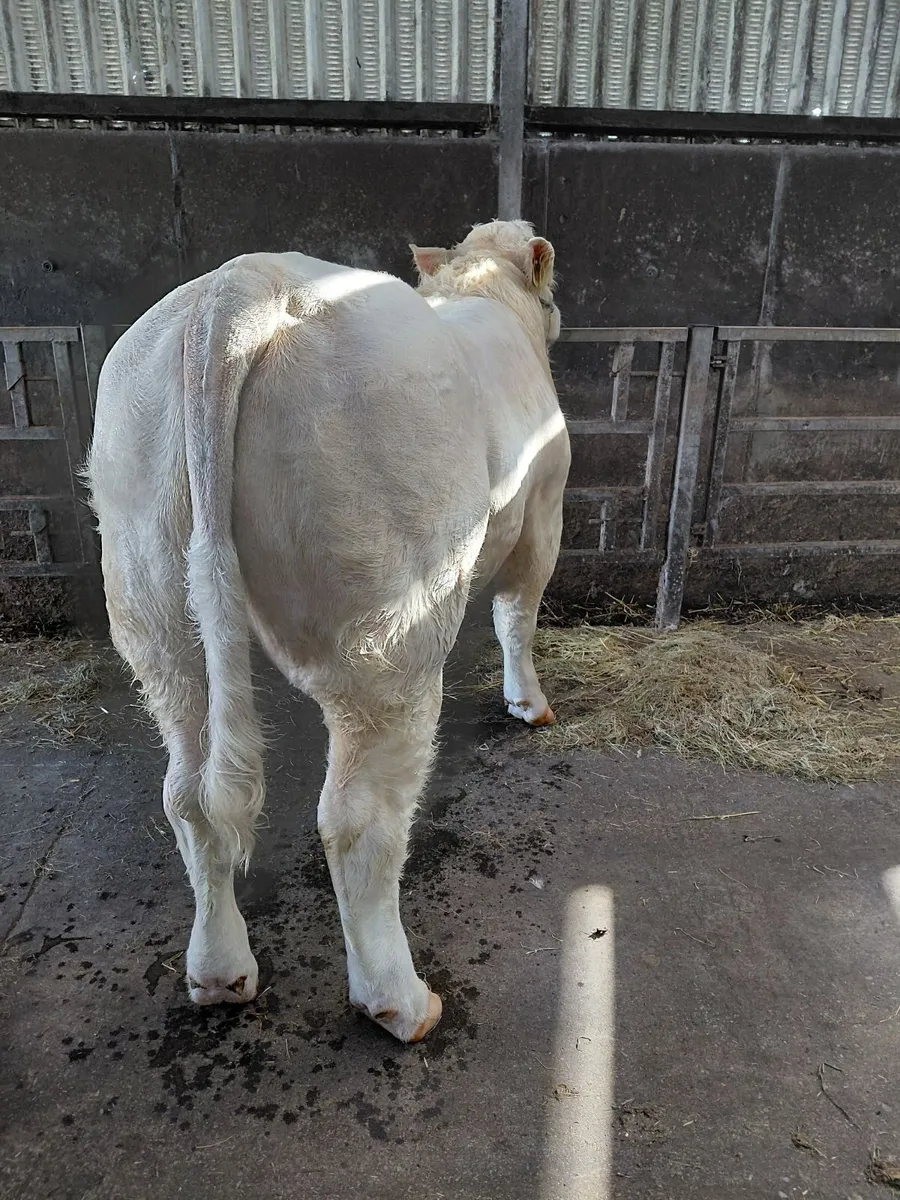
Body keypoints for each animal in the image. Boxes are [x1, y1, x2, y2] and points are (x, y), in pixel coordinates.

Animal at [86, 219, 570, 1043]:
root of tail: (238, 285)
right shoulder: (544, 509)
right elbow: (517, 614)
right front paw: (528, 704)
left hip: (154, 596)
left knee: (188, 793)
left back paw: (219, 973)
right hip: (387, 623)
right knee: (357, 819)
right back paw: (402, 1002)